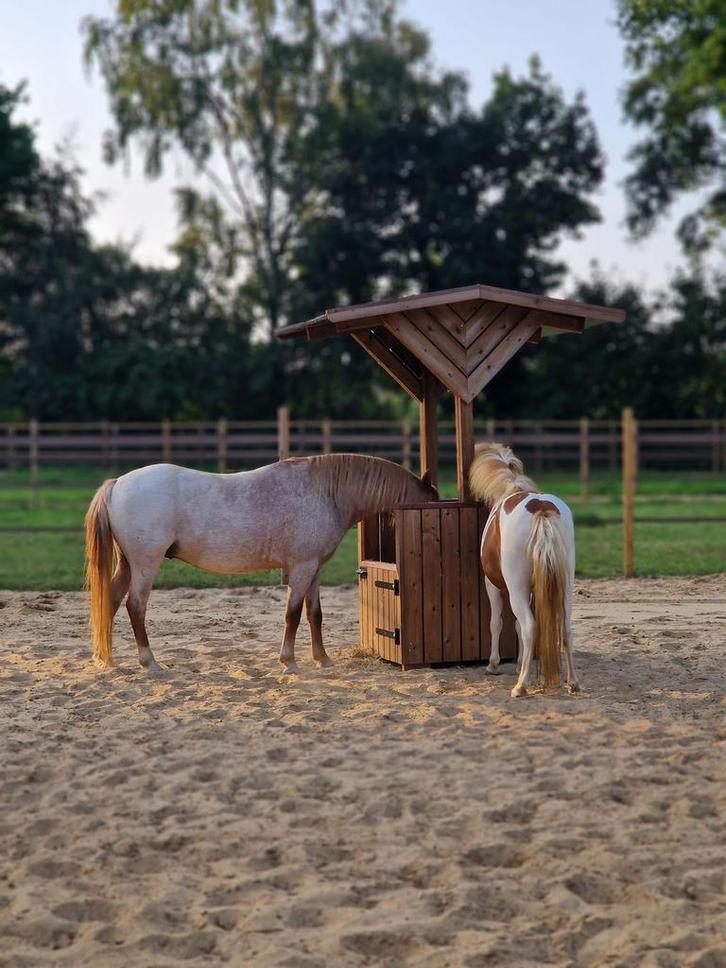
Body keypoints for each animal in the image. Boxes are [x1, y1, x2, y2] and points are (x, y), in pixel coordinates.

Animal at [84, 454, 437, 674]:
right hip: (145, 564)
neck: (324, 493)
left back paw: (108, 661)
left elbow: (315, 615)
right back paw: (150, 663)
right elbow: (293, 615)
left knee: (110, 602)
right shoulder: (302, 569)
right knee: (135, 607)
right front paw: (289, 662)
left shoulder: (315, 570)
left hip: (127, 565)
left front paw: (322, 660)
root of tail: (117, 484)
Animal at [469, 442, 579, 698]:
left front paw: (493, 664)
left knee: (530, 626)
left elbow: (497, 623)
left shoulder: (494, 586)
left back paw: (521, 686)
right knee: (566, 629)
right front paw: (520, 663)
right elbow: (517, 626)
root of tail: (541, 510)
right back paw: (573, 682)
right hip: (566, 587)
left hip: (516, 590)